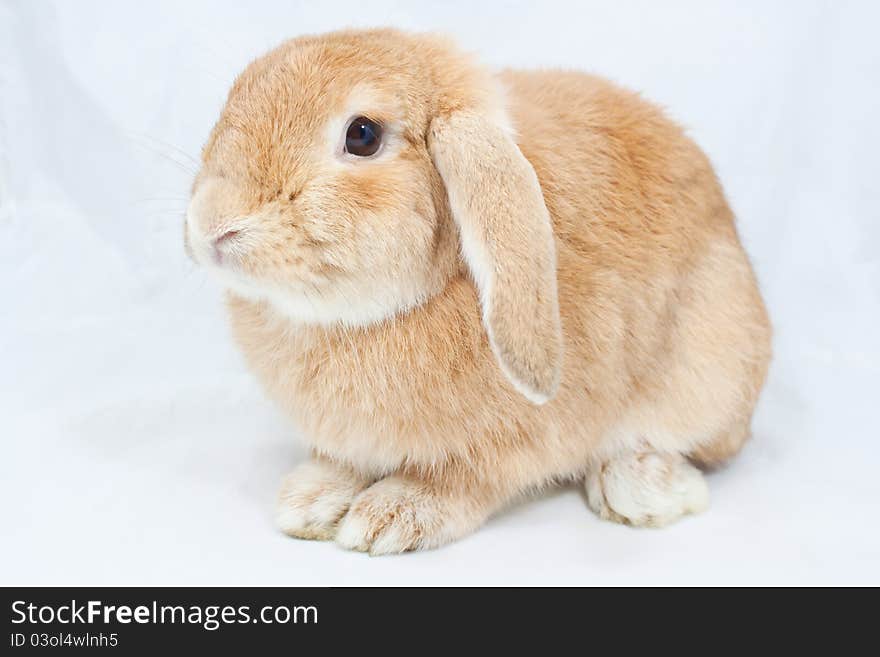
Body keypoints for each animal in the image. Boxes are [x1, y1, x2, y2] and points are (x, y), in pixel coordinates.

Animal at [184, 29, 768, 552]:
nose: (212, 224)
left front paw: (392, 516)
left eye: (363, 135)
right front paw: (309, 500)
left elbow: (463, 481)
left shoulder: (504, 450)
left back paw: (643, 486)